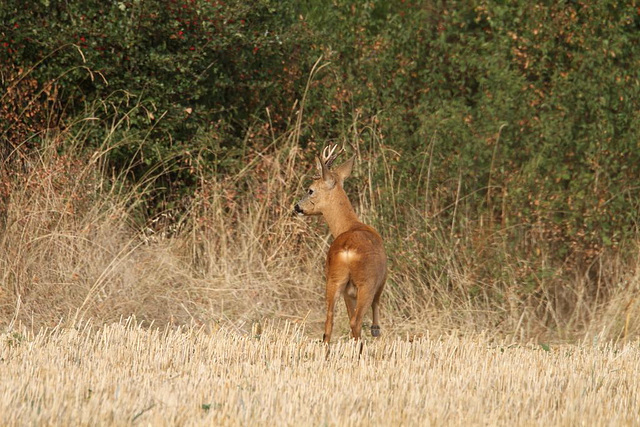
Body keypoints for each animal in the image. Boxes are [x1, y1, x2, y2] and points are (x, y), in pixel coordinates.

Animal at [294, 144, 388, 344]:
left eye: (310, 190)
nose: (297, 207)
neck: (350, 224)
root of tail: (347, 250)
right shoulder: (382, 279)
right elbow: (377, 304)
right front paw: (376, 329)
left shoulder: (346, 290)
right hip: (366, 282)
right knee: (356, 321)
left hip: (334, 279)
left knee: (329, 321)